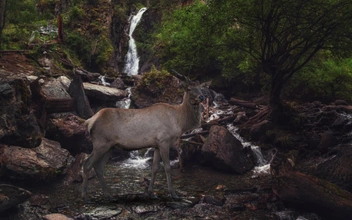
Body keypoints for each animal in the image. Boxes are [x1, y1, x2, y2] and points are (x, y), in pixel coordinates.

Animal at [81, 73, 206, 201]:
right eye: (189, 89)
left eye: (201, 88)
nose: (201, 97)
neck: (179, 122)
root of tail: (89, 121)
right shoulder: (164, 140)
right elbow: (167, 167)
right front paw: (173, 194)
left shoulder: (157, 144)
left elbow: (155, 168)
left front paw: (152, 193)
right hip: (100, 143)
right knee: (87, 164)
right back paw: (85, 196)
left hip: (110, 146)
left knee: (99, 167)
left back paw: (109, 195)